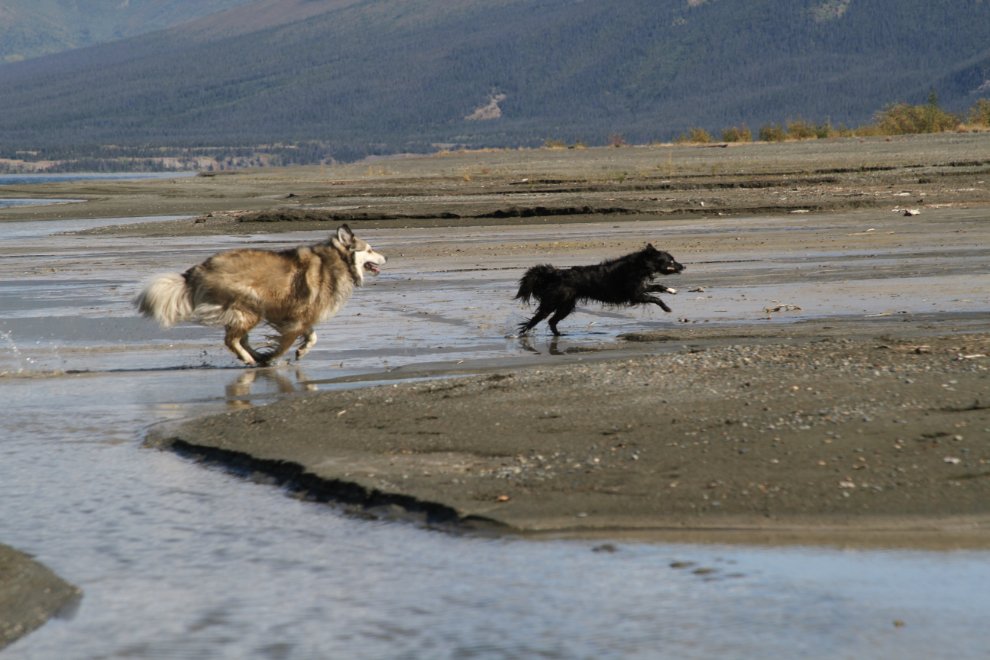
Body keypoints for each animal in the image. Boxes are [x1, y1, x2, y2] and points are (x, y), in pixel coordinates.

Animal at [138, 224, 386, 364]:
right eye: (370, 249)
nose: (386, 257)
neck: (339, 261)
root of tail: (201, 268)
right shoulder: (299, 317)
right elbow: (287, 342)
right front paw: (273, 358)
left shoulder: (300, 314)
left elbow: (312, 336)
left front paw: (301, 351)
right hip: (251, 307)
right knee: (231, 340)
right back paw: (249, 359)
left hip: (244, 312)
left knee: (240, 338)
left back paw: (254, 355)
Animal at [516, 245, 684, 336]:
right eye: (671, 261)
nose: (683, 266)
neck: (639, 265)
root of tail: (556, 273)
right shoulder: (635, 295)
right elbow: (656, 298)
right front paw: (666, 308)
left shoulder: (640, 287)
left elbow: (658, 287)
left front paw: (671, 290)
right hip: (552, 302)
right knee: (536, 319)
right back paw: (521, 334)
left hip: (566, 306)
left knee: (552, 321)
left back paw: (559, 335)